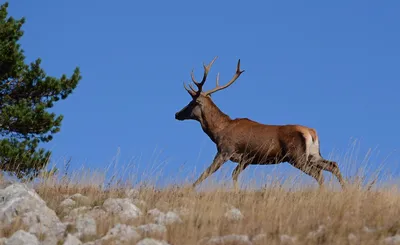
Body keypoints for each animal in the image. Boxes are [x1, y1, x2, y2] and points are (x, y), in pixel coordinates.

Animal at [175, 56, 346, 190]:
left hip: (296, 156)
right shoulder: (246, 159)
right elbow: (234, 175)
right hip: (313, 154)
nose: (177, 114)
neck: (218, 132)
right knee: (333, 165)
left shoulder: (225, 151)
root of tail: (311, 132)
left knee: (319, 174)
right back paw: (345, 188)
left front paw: (188, 189)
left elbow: (206, 173)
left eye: (191, 103)